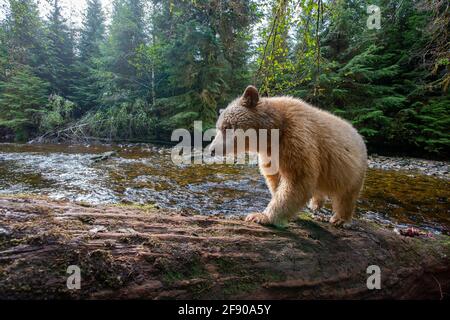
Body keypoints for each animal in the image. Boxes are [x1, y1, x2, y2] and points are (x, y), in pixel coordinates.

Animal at [209, 85, 368, 225]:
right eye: (218, 127)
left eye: (226, 126)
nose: (211, 150)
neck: (275, 131)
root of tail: (359, 135)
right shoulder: (271, 154)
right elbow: (275, 179)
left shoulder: (297, 139)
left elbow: (297, 179)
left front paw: (260, 216)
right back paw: (315, 203)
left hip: (352, 170)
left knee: (346, 195)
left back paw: (340, 219)